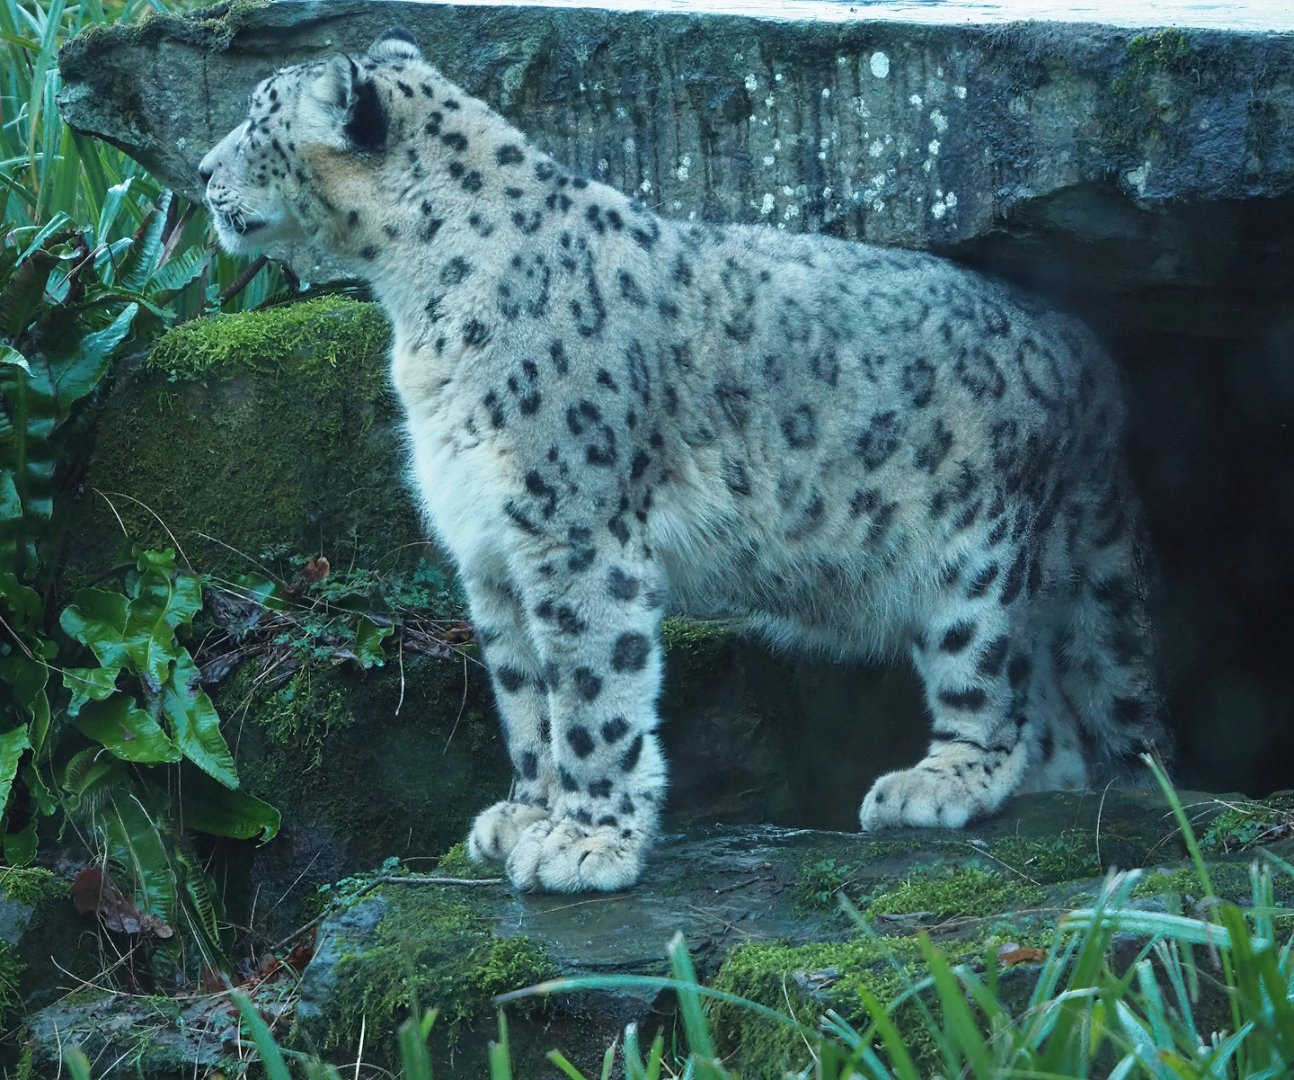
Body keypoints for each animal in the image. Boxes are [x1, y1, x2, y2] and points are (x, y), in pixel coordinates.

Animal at [200, 28, 1168, 893]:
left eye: (255, 116)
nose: (203, 176)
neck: (417, 311)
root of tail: (1088, 352)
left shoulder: (571, 530)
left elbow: (590, 690)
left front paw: (583, 843)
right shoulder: (489, 548)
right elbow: (522, 693)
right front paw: (526, 812)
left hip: (978, 557)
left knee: (1000, 697)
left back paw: (931, 786)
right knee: (1060, 729)